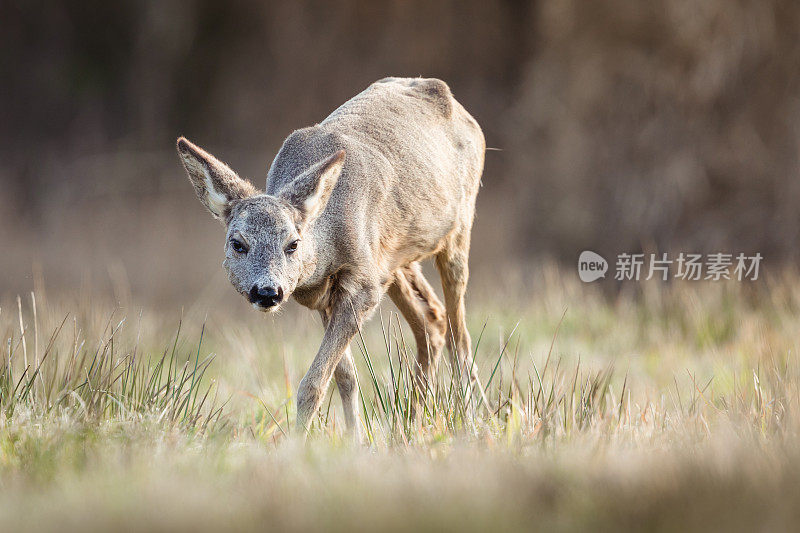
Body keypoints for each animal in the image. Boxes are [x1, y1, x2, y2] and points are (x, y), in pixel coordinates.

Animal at [177, 76, 484, 440]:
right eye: (238, 244)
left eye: (293, 244)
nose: (267, 292)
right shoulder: (327, 293)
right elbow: (344, 376)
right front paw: (356, 440)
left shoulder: (363, 285)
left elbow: (313, 383)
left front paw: (298, 442)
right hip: (394, 259)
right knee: (432, 318)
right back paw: (412, 424)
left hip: (458, 228)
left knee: (460, 336)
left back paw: (472, 421)